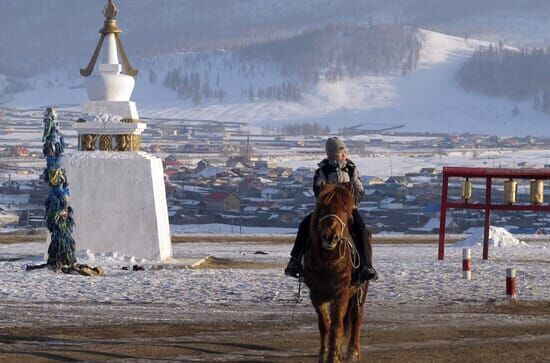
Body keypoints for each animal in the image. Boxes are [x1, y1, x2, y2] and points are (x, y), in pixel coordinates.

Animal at [306, 185, 370, 363]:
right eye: (323, 207)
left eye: (345, 209)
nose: (330, 237)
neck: (328, 260)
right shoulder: (316, 294)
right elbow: (325, 324)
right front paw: (324, 354)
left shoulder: (341, 293)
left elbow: (336, 326)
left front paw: (333, 357)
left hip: (361, 291)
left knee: (356, 318)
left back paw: (353, 352)